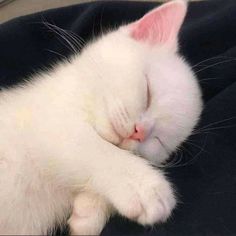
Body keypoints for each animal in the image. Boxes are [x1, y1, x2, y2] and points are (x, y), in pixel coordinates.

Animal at [0, 0, 203, 235]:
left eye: (159, 140)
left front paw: (89, 212)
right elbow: (94, 149)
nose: (140, 132)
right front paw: (144, 186)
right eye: (147, 93)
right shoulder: (51, 121)